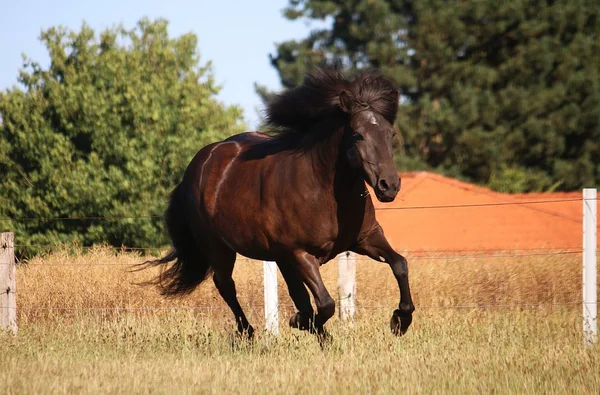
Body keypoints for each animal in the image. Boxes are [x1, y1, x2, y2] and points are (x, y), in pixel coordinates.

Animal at [146, 67, 418, 338]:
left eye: (390, 134)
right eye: (358, 135)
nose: (389, 185)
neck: (325, 194)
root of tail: (198, 164)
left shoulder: (366, 238)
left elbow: (400, 264)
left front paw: (400, 321)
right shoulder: (300, 253)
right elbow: (325, 304)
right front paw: (301, 322)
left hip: (277, 257)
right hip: (219, 247)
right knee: (225, 285)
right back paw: (247, 331)